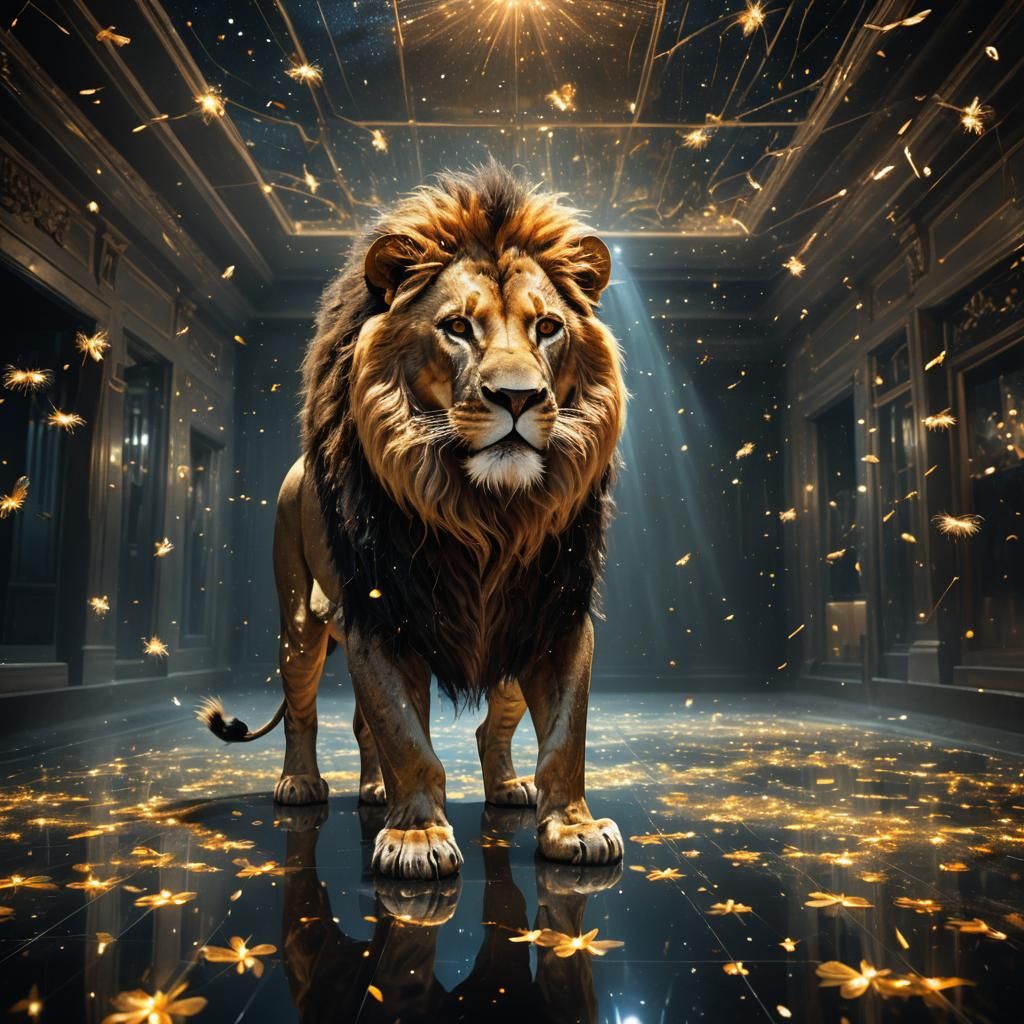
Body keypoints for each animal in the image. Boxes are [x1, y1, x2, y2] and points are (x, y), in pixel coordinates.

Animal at [201, 162, 626, 880]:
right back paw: (303, 784)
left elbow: (567, 736)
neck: (487, 513)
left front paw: (574, 827)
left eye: (547, 328)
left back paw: (479, 788)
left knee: (473, 727)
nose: (518, 397)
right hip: (299, 622)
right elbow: (405, 736)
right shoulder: (382, 614)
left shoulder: (554, 611)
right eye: (457, 327)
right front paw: (417, 839)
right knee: (308, 712)